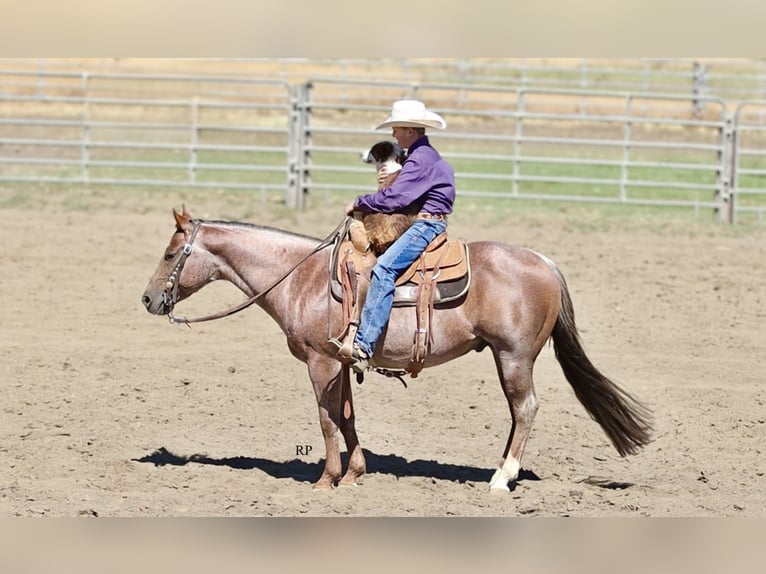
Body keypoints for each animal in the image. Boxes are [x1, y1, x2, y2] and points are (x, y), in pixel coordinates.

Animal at [141, 207, 653, 491]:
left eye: (169, 254)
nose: (147, 300)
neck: (300, 277)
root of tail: (545, 262)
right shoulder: (342, 361)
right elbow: (346, 416)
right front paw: (353, 473)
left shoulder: (319, 362)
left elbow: (326, 419)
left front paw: (325, 480)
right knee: (517, 412)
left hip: (514, 357)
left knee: (525, 409)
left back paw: (501, 479)